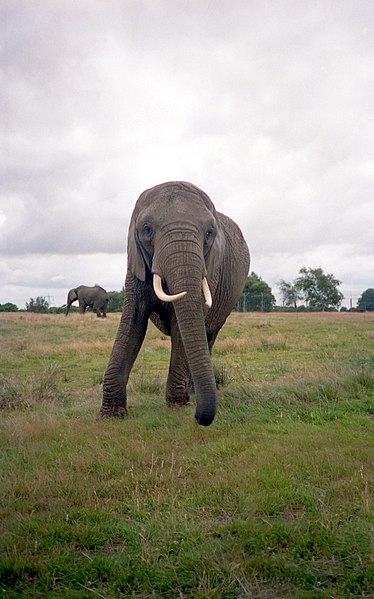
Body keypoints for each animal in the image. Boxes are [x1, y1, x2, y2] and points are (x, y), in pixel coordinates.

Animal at [101, 182, 250, 426]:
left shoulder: (211, 268)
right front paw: (112, 414)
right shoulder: (136, 265)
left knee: (209, 335)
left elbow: (182, 324)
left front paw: (178, 405)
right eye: (147, 230)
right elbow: (132, 322)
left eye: (209, 233)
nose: (199, 417)